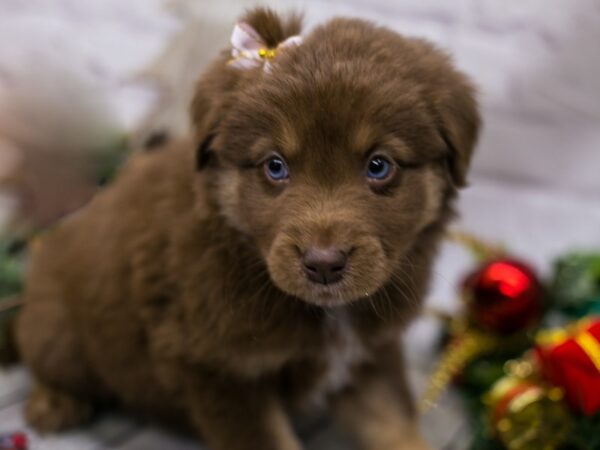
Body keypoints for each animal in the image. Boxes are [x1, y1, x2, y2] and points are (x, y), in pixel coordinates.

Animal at [16, 7, 480, 450]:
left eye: (379, 165)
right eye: (275, 166)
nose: (324, 264)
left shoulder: (368, 351)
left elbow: (393, 424)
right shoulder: (218, 368)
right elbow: (267, 439)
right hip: (59, 328)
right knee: (46, 359)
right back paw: (54, 401)